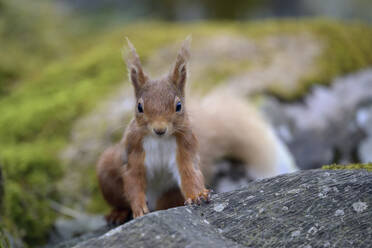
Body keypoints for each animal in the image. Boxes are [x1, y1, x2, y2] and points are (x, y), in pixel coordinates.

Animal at [96, 37, 300, 225]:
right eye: (139, 107)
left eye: (179, 105)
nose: (159, 129)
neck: (160, 140)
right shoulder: (133, 151)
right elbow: (133, 180)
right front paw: (139, 209)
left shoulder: (185, 147)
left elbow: (189, 173)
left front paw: (197, 196)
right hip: (107, 174)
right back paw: (117, 214)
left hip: (171, 193)